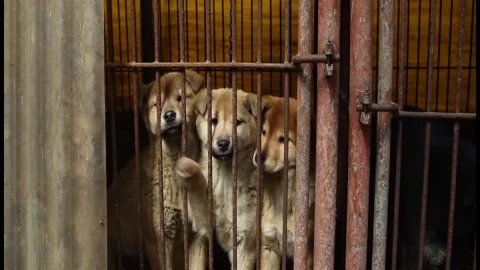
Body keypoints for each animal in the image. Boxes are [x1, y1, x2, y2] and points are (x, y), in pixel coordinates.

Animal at [175, 88, 260, 270]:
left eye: (237, 122)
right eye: (213, 120)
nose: (222, 144)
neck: (226, 179)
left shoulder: (244, 245)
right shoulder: (202, 226)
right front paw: (187, 168)